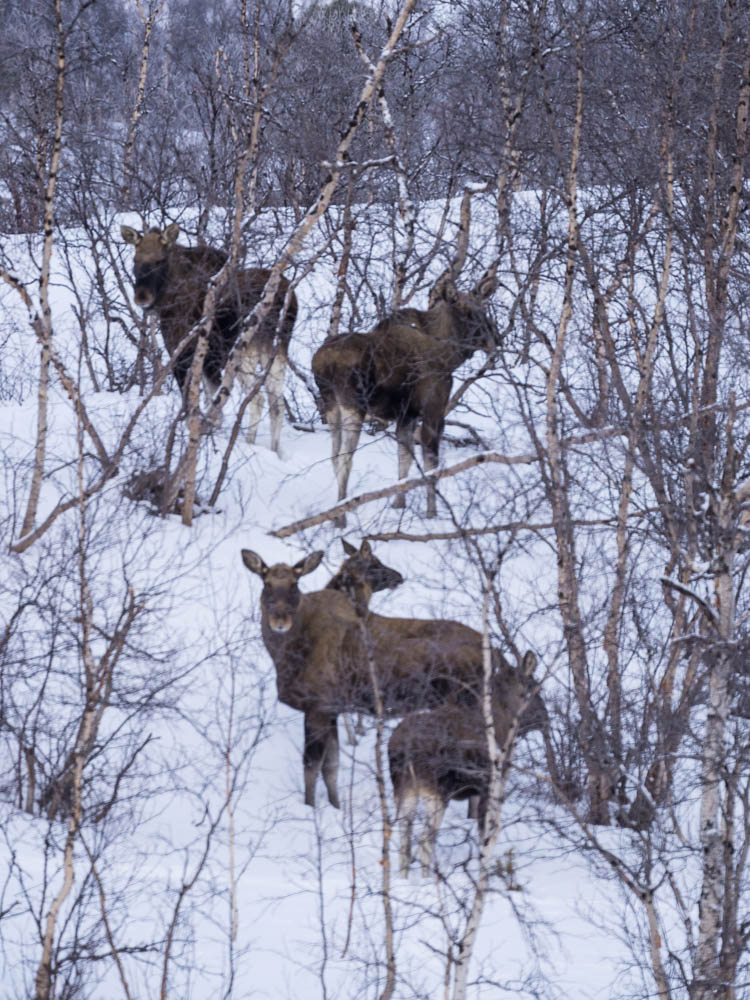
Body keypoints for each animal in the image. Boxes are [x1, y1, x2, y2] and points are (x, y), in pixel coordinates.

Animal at [120, 225, 296, 456]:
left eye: (160, 260)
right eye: (135, 259)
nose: (142, 296)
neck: (169, 298)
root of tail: (286, 301)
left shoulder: (184, 353)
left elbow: (193, 405)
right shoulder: (207, 360)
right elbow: (210, 401)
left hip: (246, 349)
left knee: (257, 400)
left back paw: (249, 445)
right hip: (277, 350)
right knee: (277, 403)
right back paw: (274, 451)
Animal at [242, 548, 512, 812]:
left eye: (294, 584)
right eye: (266, 582)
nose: (279, 622)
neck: (286, 653)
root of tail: (496, 653)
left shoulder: (318, 706)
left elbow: (311, 768)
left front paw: (311, 809)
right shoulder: (331, 709)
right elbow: (331, 768)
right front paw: (337, 808)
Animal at [388, 648, 548, 876]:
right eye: (535, 687)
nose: (545, 717)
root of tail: (403, 749)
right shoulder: (491, 784)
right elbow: (488, 835)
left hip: (404, 789)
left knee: (404, 841)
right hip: (436, 791)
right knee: (424, 840)